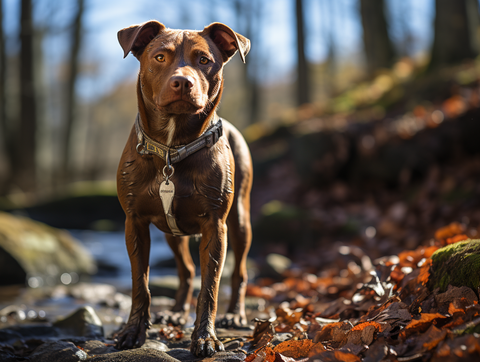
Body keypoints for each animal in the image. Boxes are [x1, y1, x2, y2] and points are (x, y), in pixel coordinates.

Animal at [114, 20, 253, 356]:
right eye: (160, 57)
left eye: (204, 60)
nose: (182, 82)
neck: (171, 147)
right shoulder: (135, 223)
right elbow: (140, 283)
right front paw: (133, 332)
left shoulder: (215, 226)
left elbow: (211, 286)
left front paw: (205, 337)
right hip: (171, 233)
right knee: (186, 271)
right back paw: (177, 311)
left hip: (240, 221)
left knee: (239, 272)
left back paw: (235, 313)